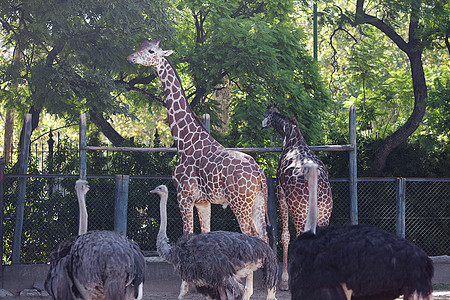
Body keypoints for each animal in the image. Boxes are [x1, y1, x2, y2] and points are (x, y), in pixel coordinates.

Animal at [262, 103, 332, 290]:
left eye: (266, 113)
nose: (262, 125)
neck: (290, 135)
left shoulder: (280, 193)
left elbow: (285, 236)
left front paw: (284, 281)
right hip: (325, 210)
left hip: (299, 209)